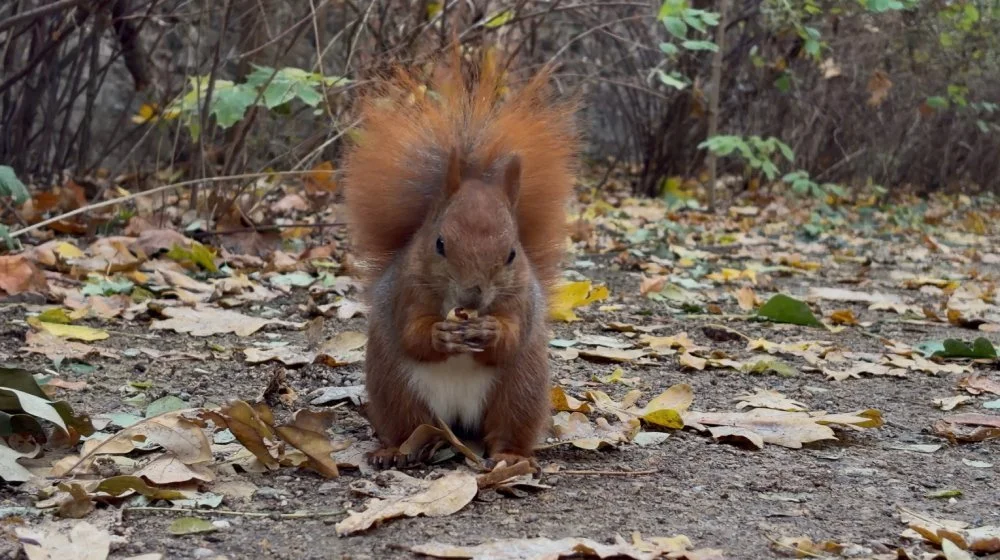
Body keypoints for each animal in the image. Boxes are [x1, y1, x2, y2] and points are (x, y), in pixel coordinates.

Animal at [341, 50, 578, 470]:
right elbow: (411, 333)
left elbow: (511, 335)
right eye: (439, 243)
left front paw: (492, 331)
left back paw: (510, 457)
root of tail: (457, 423)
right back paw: (397, 451)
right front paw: (439, 333)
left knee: (508, 429)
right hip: (394, 388)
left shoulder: (520, 301)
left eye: (512, 253)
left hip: (520, 389)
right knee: (407, 425)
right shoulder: (406, 291)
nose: (471, 297)